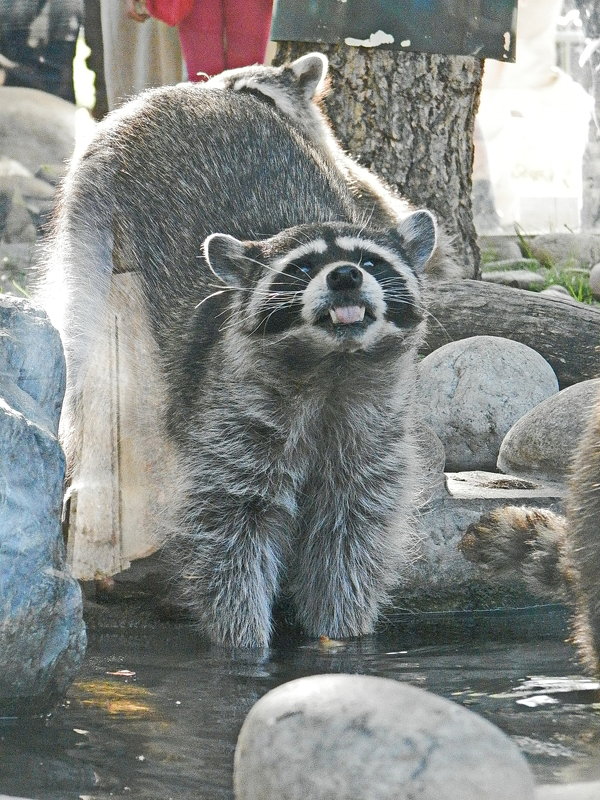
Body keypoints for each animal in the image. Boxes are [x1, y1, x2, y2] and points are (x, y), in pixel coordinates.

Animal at [41, 70, 436, 648]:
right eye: (303, 266)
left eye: (370, 262)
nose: (344, 276)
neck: (331, 368)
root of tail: (178, 91)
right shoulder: (229, 419)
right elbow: (231, 537)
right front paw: (243, 643)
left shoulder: (375, 427)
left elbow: (350, 535)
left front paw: (341, 635)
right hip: (92, 223)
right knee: (88, 350)